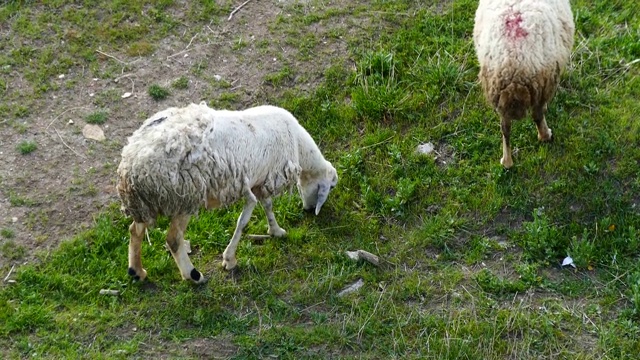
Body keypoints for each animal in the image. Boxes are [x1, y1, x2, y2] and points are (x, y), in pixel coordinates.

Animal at [115, 102, 338, 284]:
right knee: (174, 240)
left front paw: (275, 230)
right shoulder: (260, 182)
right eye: (332, 187)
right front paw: (229, 259)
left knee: (135, 231)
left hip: (144, 203)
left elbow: (267, 206)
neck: (299, 147)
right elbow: (244, 220)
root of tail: (132, 163)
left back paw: (137, 271)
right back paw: (193, 276)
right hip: (184, 197)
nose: (310, 209)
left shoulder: (260, 180)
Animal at [476, 0, 576, 169]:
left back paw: (507, 162)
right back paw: (545, 135)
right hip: (542, 83)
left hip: (499, 92)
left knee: (505, 128)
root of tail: (512, 63)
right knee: (537, 114)